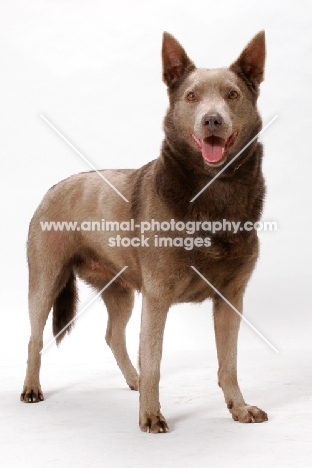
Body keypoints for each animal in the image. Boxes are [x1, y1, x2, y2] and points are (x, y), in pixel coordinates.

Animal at [20, 32, 268, 436]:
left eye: (232, 94)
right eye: (191, 97)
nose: (212, 120)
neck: (213, 191)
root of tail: (54, 187)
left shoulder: (230, 299)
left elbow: (228, 364)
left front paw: (239, 408)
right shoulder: (158, 297)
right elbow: (154, 359)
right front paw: (150, 415)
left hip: (120, 292)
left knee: (113, 336)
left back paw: (132, 380)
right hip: (45, 282)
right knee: (34, 337)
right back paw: (31, 388)